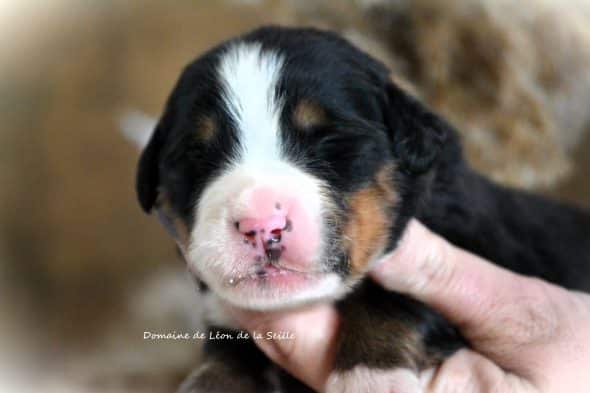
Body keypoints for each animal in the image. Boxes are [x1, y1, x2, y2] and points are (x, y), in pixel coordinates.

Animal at [134, 26, 590, 390]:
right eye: (197, 155)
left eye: (329, 141)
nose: (262, 225)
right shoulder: (230, 325)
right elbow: (225, 360)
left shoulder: (465, 238)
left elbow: (389, 296)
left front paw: (371, 378)